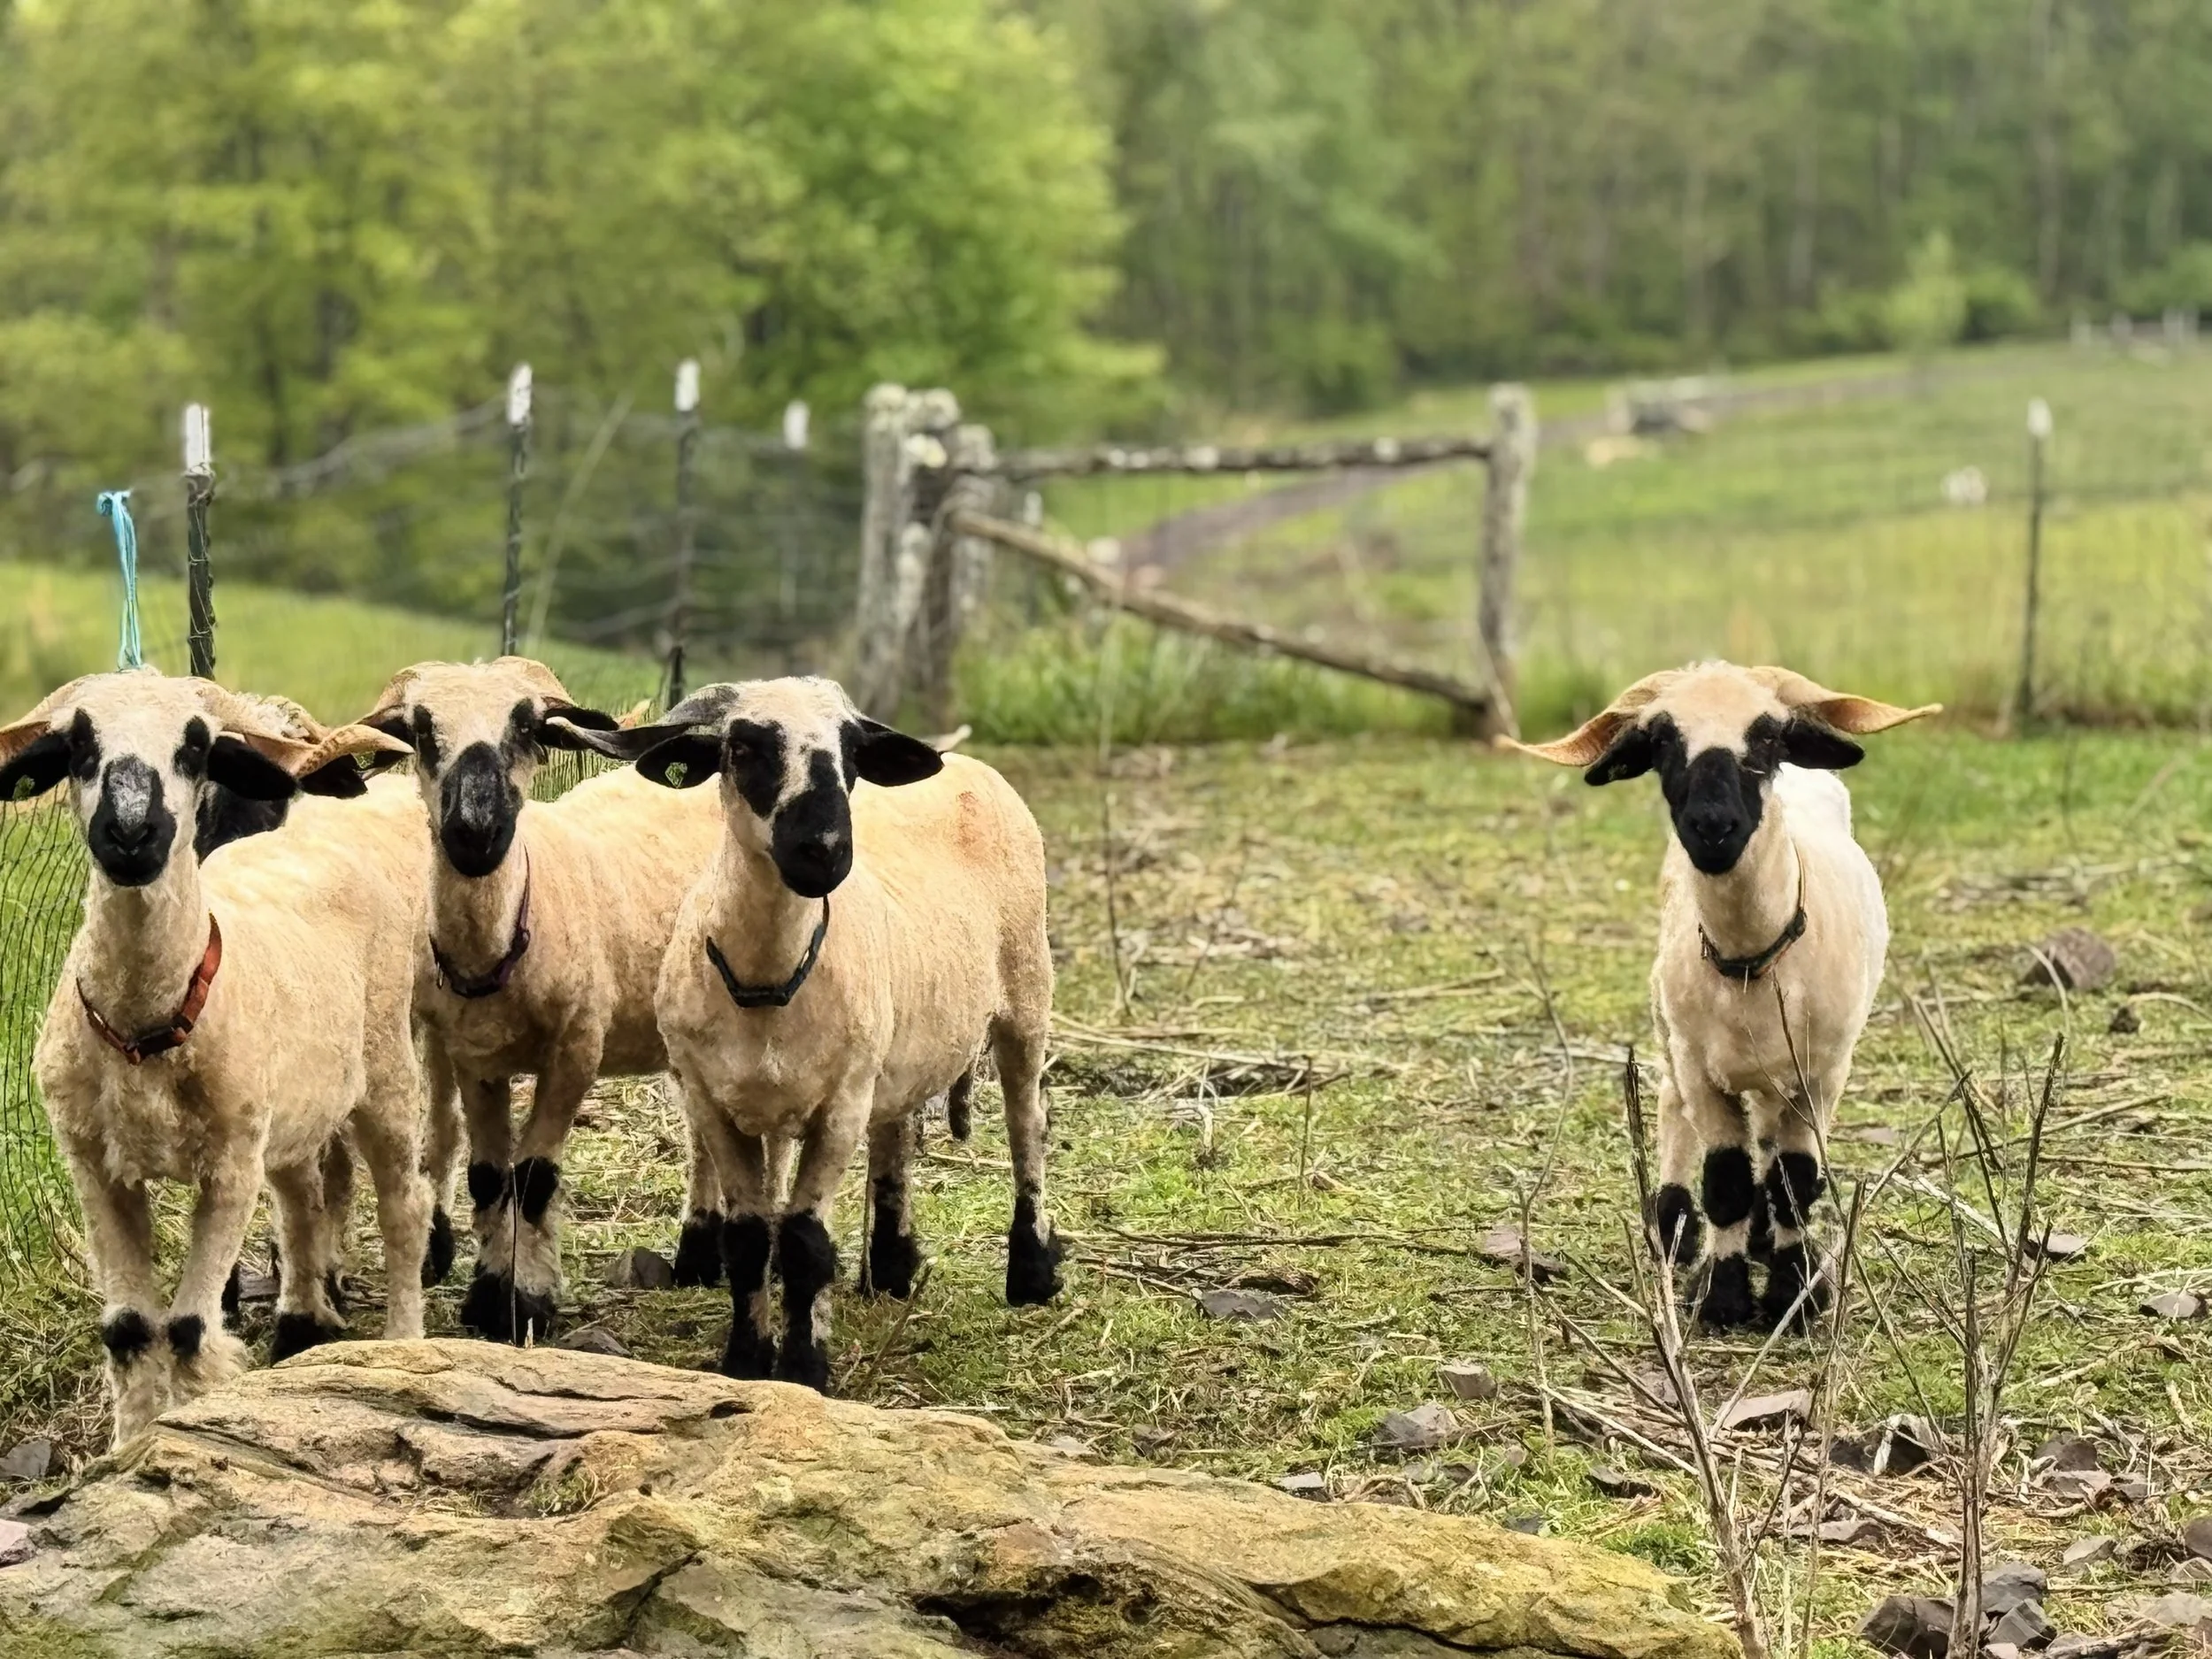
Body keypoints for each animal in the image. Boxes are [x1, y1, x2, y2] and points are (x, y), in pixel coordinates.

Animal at [0, 671, 429, 1445]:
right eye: (78, 744)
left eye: (196, 747)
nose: (130, 833)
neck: (146, 1026)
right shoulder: (94, 1165)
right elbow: (130, 1328)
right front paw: (131, 1444)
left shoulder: (230, 1164)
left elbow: (191, 1327)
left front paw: (186, 1430)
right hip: (293, 1112)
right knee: (303, 1202)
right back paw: (301, 1322)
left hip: (384, 1067)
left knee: (405, 1205)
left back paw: (405, 1341)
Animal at [355, 657, 729, 1342]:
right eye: (420, 729)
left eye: (528, 725)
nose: (475, 830)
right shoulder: (477, 1059)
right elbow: (487, 1176)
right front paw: (486, 1292)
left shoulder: (576, 1050)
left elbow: (533, 1178)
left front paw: (521, 1302)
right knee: (703, 1126)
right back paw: (699, 1253)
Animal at [557, 675, 1061, 1390]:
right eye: (743, 746)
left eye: (850, 752)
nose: (824, 849)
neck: (769, 978)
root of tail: (968, 765)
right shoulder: (712, 1100)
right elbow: (747, 1239)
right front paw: (746, 1361)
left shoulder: (840, 1105)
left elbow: (804, 1244)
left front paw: (802, 1368)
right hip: (899, 1044)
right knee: (898, 1131)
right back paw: (892, 1267)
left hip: (1026, 991)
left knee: (1027, 1126)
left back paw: (1033, 1271)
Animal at [1508, 663, 1937, 1332]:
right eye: (1660, 739)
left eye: (1768, 735)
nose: (1712, 827)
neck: (1754, 960)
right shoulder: (1700, 1068)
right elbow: (1726, 1180)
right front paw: (1724, 1296)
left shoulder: (1822, 1074)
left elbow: (1794, 1182)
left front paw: (1793, 1295)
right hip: (1670, 1028)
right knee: (1670, 1108)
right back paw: (1674, 1228)